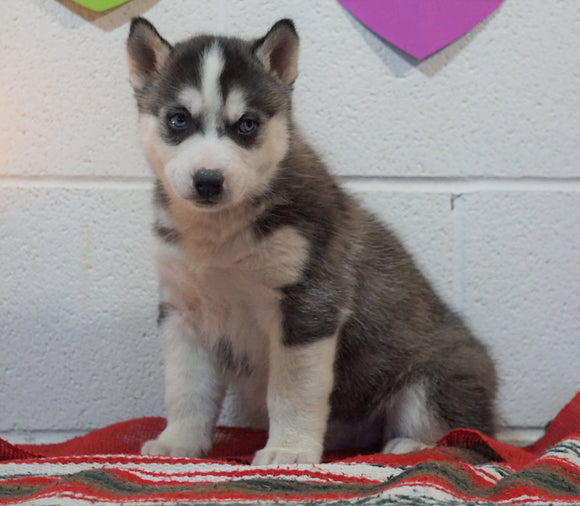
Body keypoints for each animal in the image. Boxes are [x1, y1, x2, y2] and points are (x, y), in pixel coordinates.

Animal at [128, 17, 498, 464]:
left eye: (247, 124)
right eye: (179, 120)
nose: (209, 181)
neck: (220, 234)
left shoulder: (309, 305)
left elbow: (292, 391)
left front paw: (287, 450)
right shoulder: (183, 313)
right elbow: (186, 390)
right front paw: (178, 442)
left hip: (433, 381)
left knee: (467, 437)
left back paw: (414, 445)